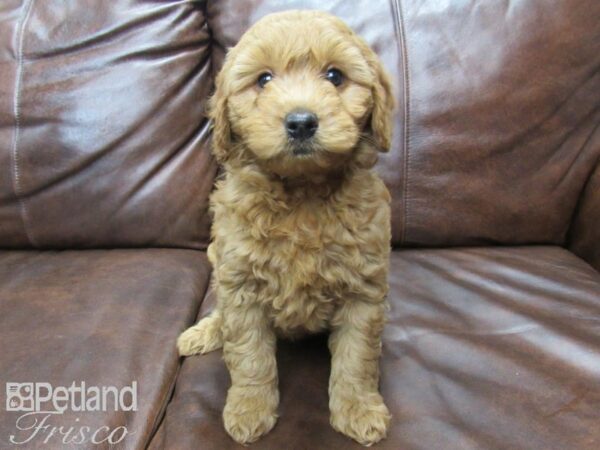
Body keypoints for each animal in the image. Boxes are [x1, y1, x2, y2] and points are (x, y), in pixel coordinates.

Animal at [178, 10, 394, 446]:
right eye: (263, 79)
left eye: (335, 76)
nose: (301, 122)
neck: (302, 193)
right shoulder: (240, 285)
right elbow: (249, 355)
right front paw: (249, 409)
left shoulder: (363, 291)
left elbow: (357, 357)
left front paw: (359, 408)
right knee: (221, 315)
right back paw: (204, 332)